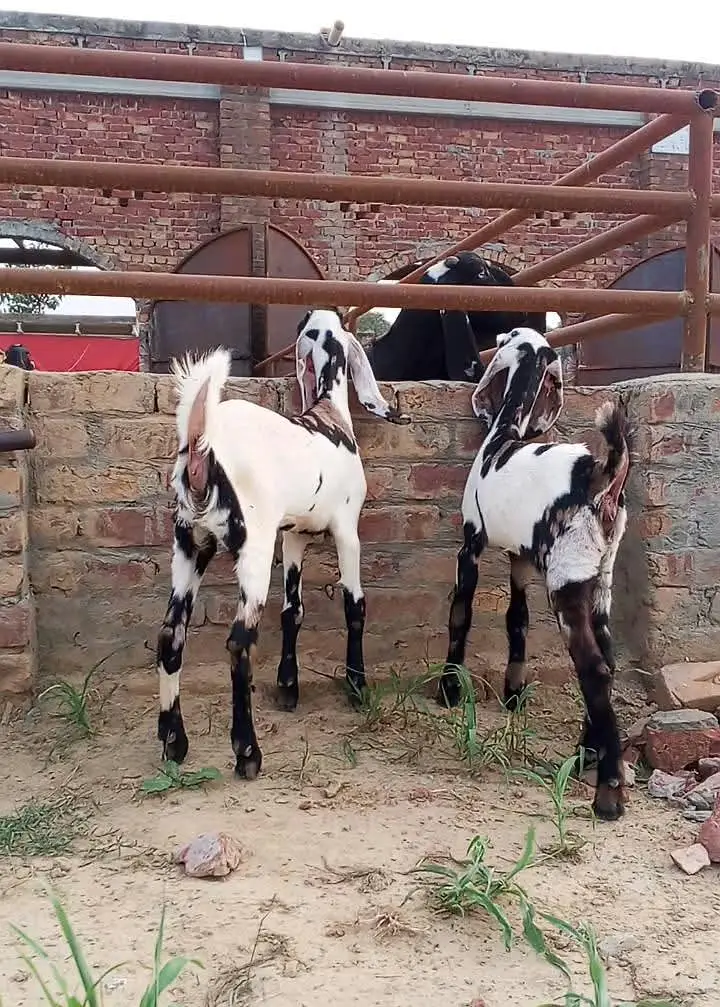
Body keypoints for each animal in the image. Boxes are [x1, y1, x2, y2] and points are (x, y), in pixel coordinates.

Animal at [156, 308, 410, 780]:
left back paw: (173, 741)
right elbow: (355, 605)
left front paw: (289, 686)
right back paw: (247, 753)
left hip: (189, 543)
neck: (329, 414)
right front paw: (357, 685)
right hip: (252, 546)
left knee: (170, 634)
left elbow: (293, 611)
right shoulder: (348, 530)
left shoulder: (293, 536)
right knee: (239, 642)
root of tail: (201, 449)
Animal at [437, 327, 631, 821]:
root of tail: (603, 475)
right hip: (600, 579)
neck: (502, 437)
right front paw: (513, 693)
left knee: (594, 669)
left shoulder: (471, 543)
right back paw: (587, 754)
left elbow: (460, 615)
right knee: (608, 660)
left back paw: (609, 792)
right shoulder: (520, 559)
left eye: (505, 337)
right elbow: (516, 621)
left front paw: (448, 689)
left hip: (566, 578)